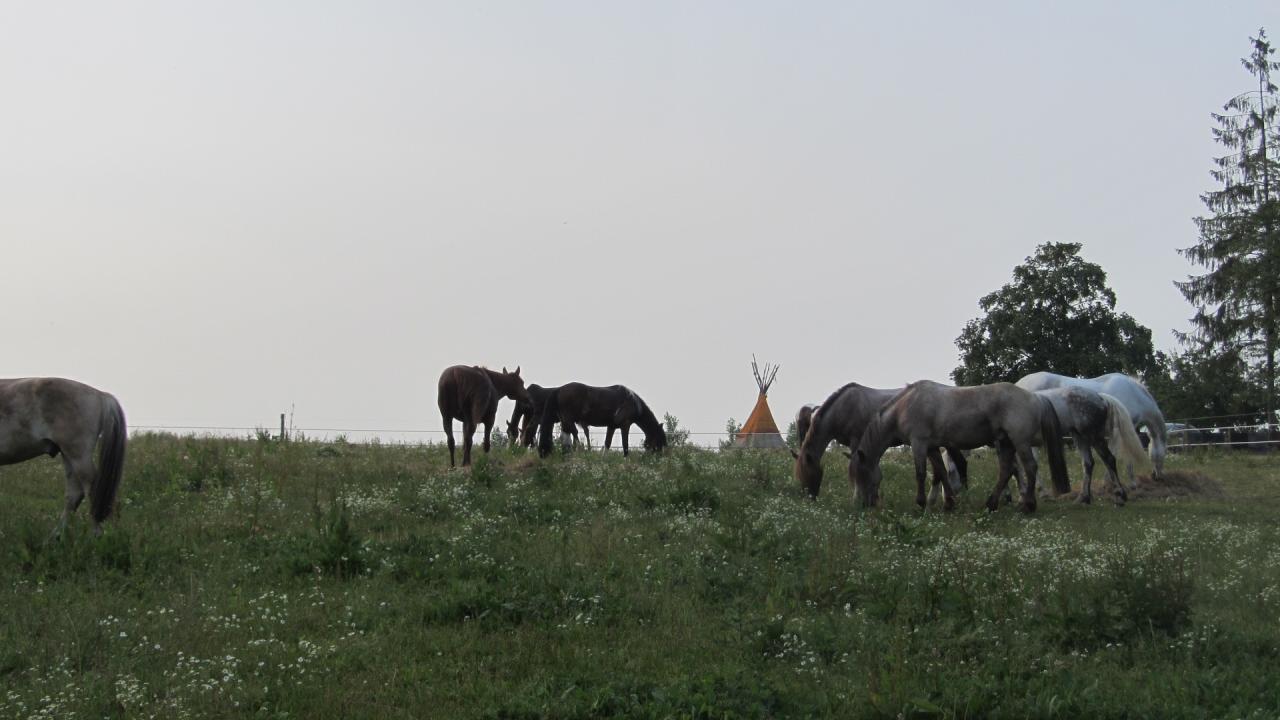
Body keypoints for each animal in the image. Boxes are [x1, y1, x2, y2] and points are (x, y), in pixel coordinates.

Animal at [535, 381, 665, 453]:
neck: (631, 402)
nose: (659, 457)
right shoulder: (625, 425)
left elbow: (607, 444)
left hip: (565, 421)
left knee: (566, 437)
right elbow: (625, 446)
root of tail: (559, 390)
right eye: (659, 439)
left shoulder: (612, 426)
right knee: (574, 434)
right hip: (569, 420)